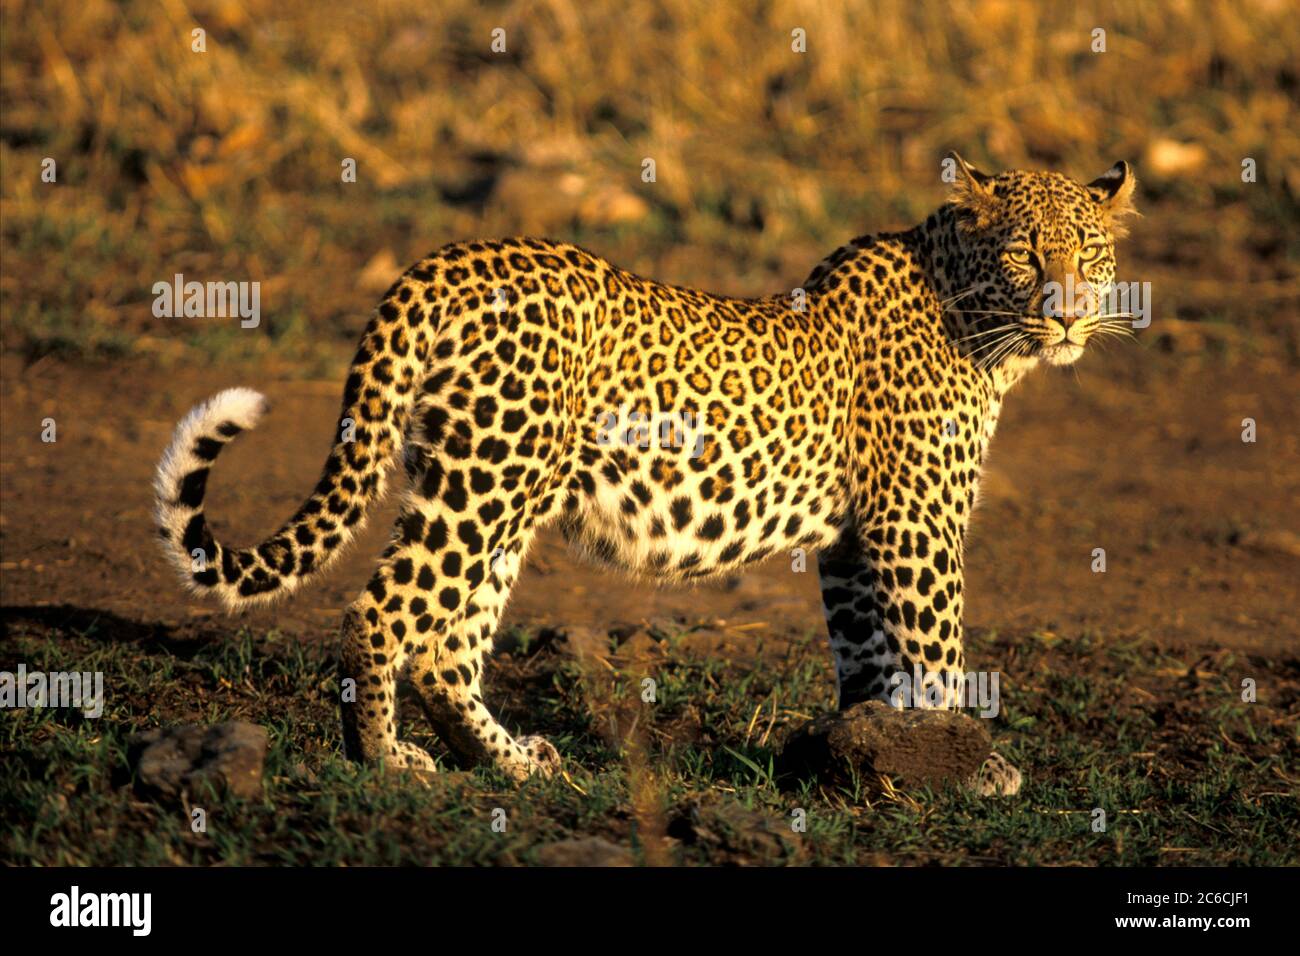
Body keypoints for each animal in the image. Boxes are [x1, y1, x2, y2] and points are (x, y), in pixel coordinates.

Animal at [154, 153, 1137, 795]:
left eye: (1089, 255)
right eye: (1026, 254)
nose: (1068, 317)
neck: (975, 320)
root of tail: (445, 262)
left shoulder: (855, 542)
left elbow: (866, 656)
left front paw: (869, 750)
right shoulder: (915, 524)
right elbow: (935, 651)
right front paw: (970, 761)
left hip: (487, 486)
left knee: (445, 641)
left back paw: (510, 762)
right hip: (489, 482)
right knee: (385, 612)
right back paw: (386, 764)